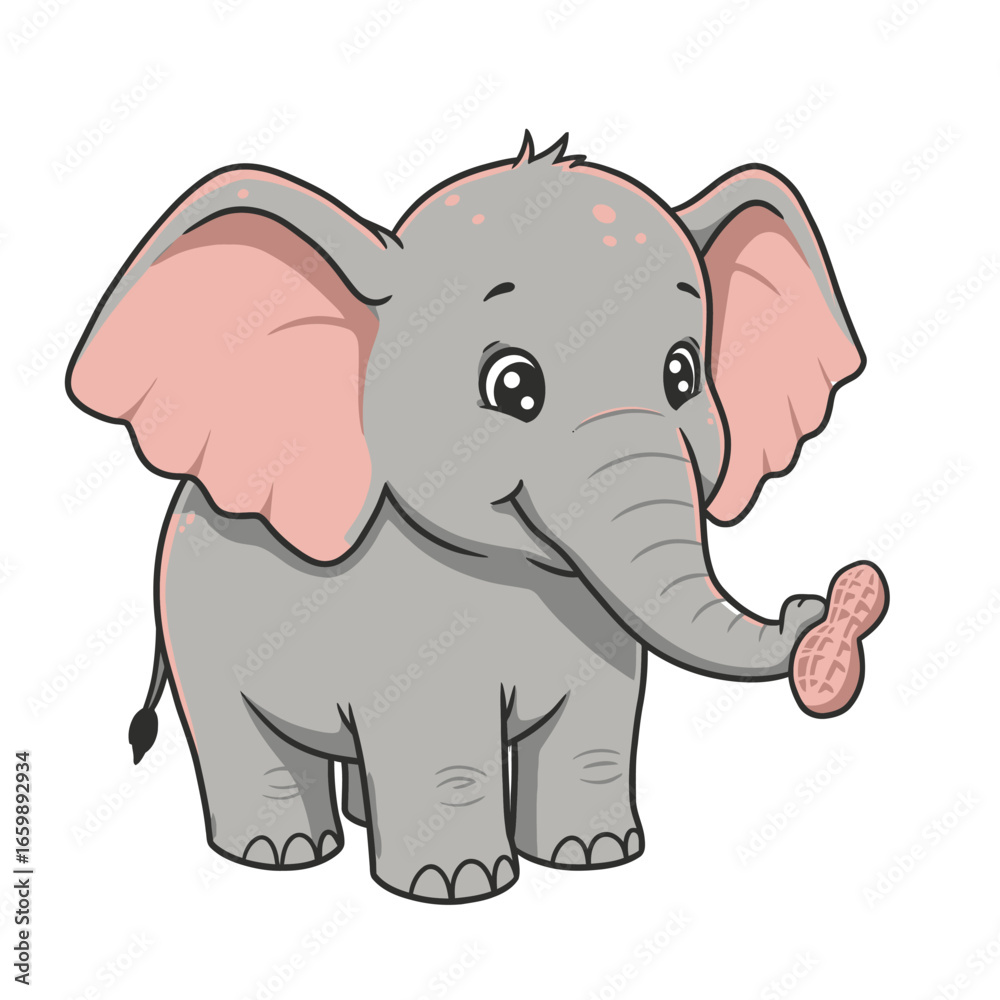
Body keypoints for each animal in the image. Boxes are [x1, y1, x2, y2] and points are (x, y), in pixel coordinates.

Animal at [67, 132, 888, 903]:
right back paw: (281, 853)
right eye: (513, 386)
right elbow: (443, 739)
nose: (822, 611)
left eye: (683, 374)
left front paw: (596, 856)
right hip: (191, 625)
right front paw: (457, 886)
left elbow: (598, 721)